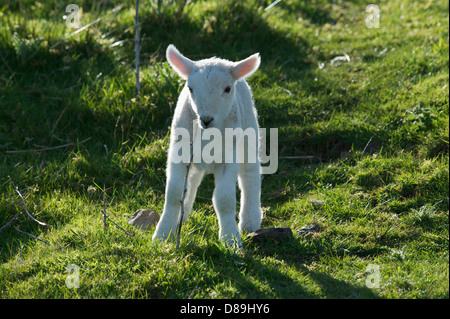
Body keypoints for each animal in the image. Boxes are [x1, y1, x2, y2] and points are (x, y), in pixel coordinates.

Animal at [153, 43, 262, 246]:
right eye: (190, 88)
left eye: (227, 89)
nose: (206, 119)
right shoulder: (179, 154)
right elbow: (173, 193)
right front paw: (162, 234)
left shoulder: (229, 158)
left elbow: (224, 199)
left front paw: (230, 240)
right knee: (192, 181)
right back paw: (183, 215)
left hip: (249, 133)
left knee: (250, 175)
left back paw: (250, 222)